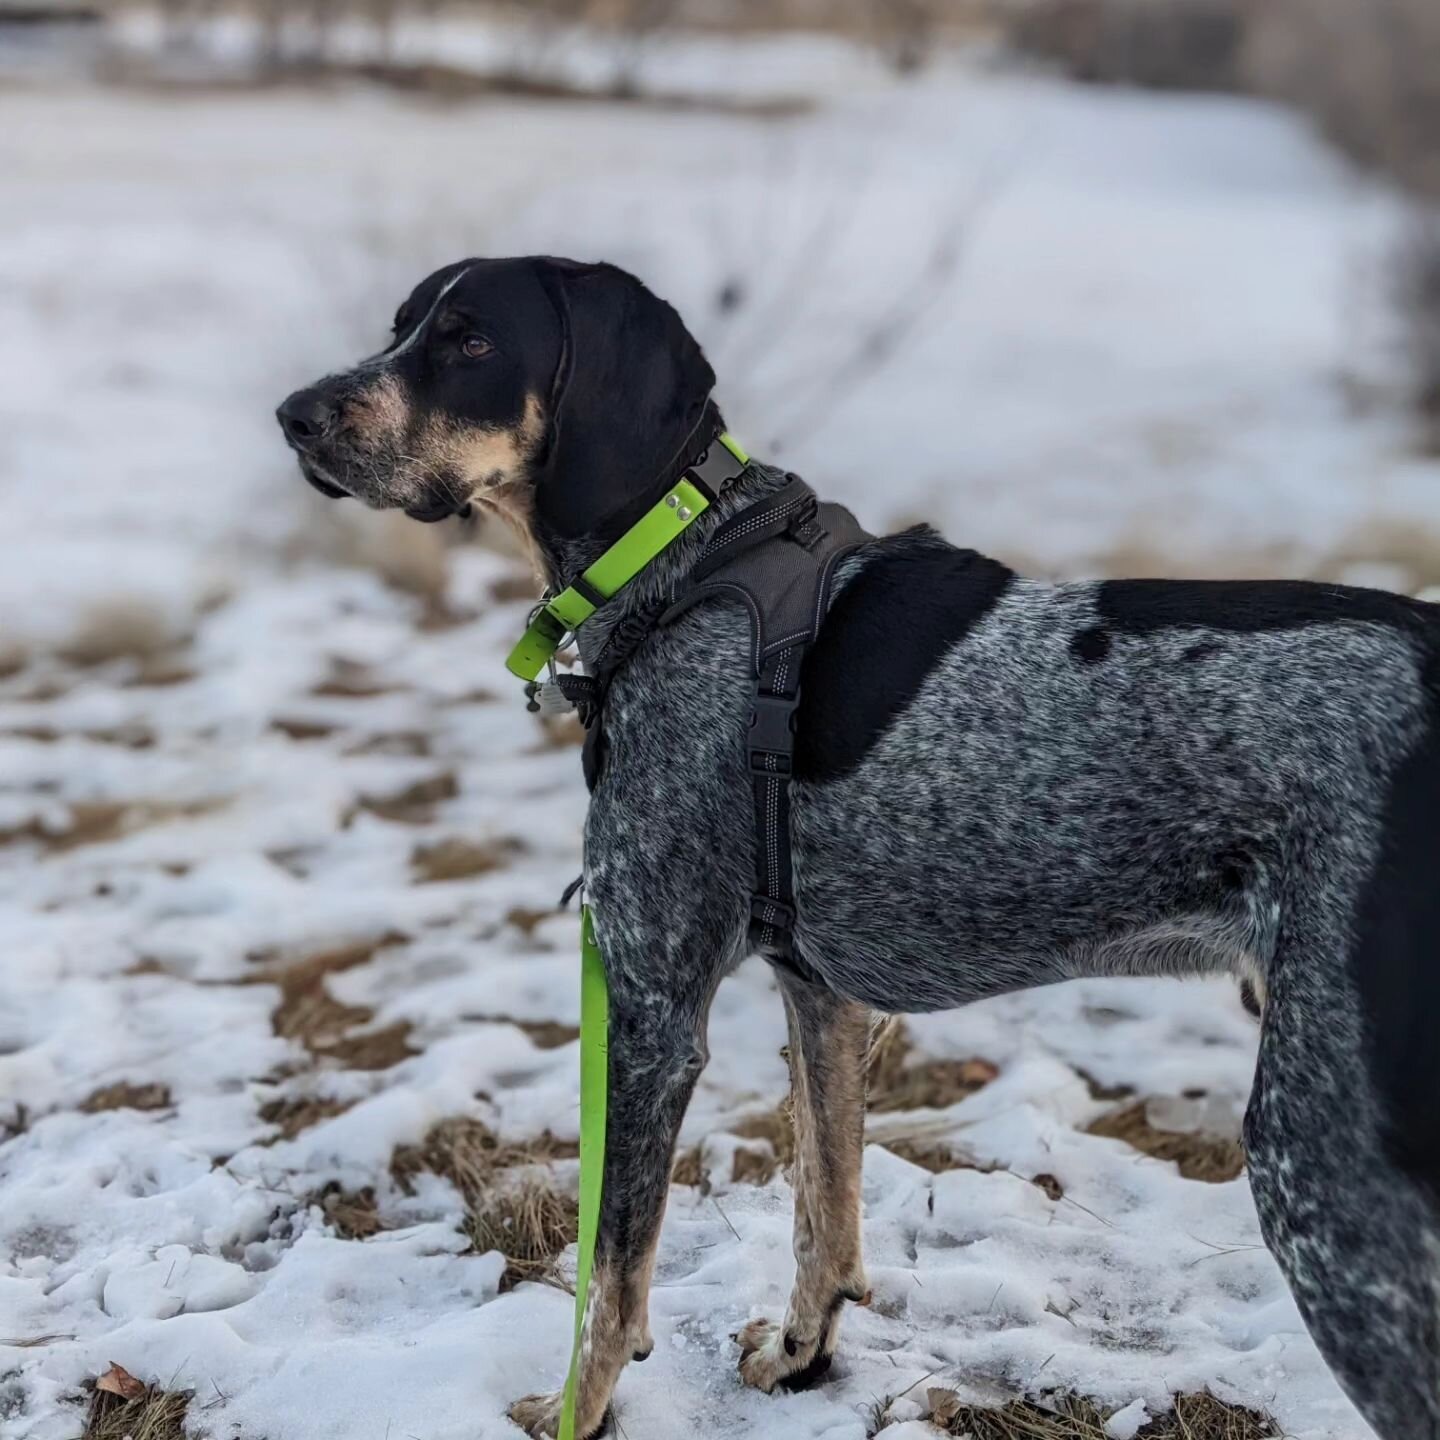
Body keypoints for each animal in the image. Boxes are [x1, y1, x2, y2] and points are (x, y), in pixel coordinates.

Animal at [277, 259, 1440, 1440]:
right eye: (402, 326)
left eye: (470, 342)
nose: (295, 417)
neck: (685, 562)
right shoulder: (821, 996)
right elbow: (823, 1203)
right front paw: (803, 1357)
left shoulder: (650, 1008)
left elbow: (612, 1276)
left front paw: (580, 1412)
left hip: (1321, 1161)